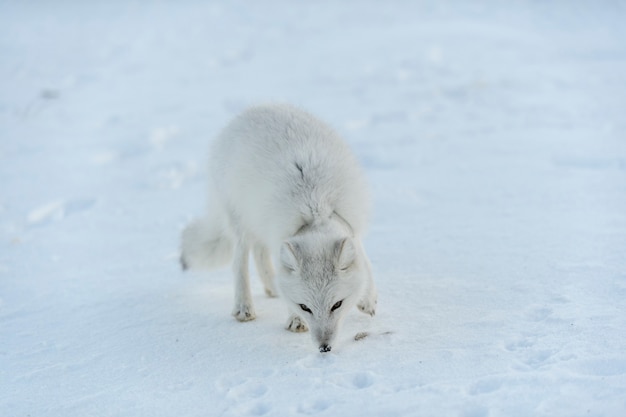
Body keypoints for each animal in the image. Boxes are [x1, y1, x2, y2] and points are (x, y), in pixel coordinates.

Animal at [180, 103, 376, 352]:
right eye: (304, 307)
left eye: (337, 304)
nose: (324, 348)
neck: (316, 211)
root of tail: (252, 109)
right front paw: (295, 319)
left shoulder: (352, 226)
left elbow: (366, 262)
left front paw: (368, 298)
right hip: (241, 219)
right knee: (241, 260)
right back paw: (244, 306)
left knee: (259, 252)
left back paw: (272, 287)